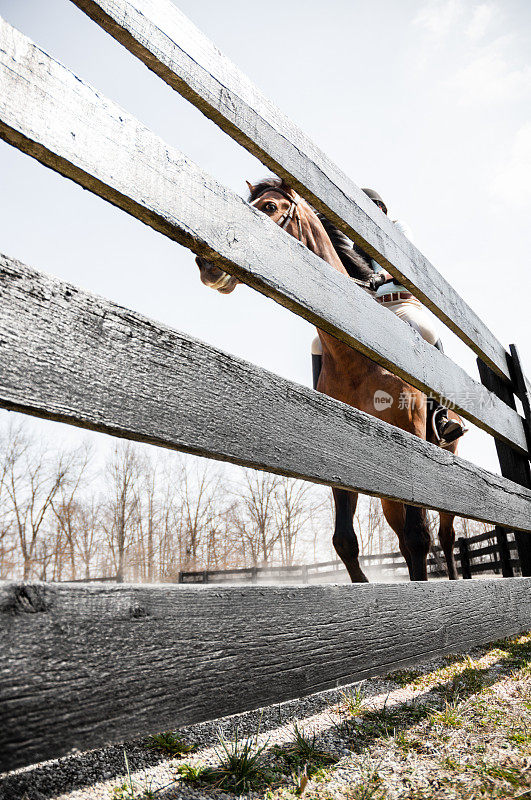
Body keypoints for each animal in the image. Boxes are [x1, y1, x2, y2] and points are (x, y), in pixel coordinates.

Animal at [197, 178, 464, 580]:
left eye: (270, 207)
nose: (206, 264)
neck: (357, 357)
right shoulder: (345, 450)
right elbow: (346, 541)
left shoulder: (413, 436)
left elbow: (420, 536)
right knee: (402, 536)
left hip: (447, 455)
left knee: (444, 535)